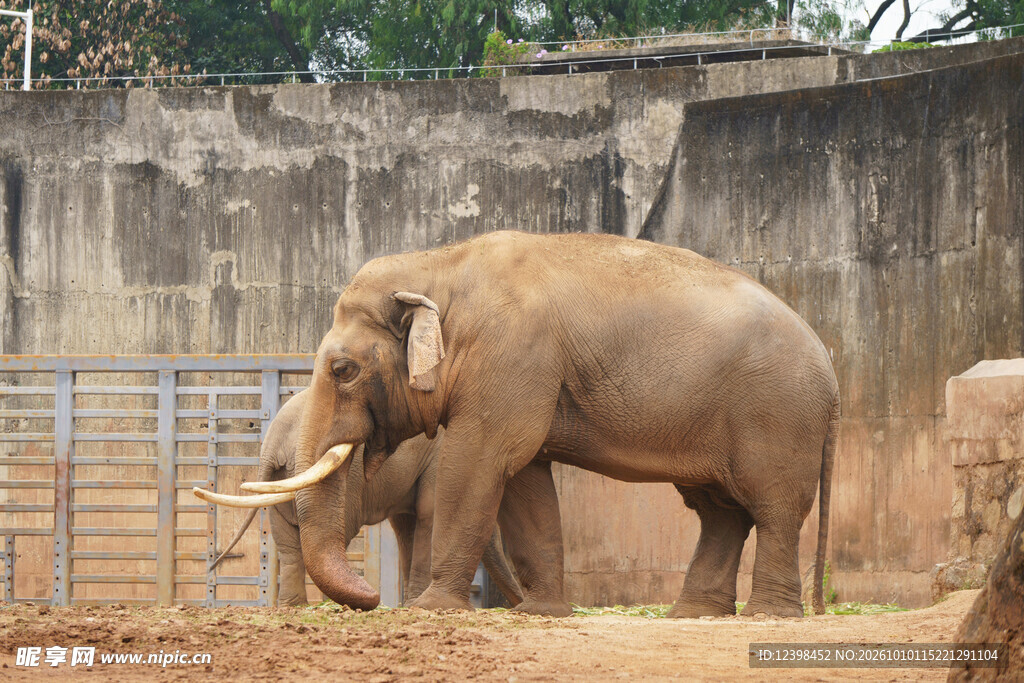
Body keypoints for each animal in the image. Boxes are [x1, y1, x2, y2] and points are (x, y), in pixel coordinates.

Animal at [198, 389, 523, 607]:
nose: (519, 602)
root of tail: (271, 445)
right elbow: (427, 516)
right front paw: (414, 605)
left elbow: (407, 525)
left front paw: (409, 604)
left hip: (277, 483)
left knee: (289, 544)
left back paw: (294, 607)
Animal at [244, 230, 840, 619]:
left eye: (342, 370)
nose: (371, 601)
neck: (438, 265)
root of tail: (830, 365)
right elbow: (524, 480)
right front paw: (542, 614)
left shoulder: (512, 356)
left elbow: (478, 462)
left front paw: (432, 610)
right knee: (720, 510)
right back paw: (692, 615)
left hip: (778, 414)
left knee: (772, 507)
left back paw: (768, 617)